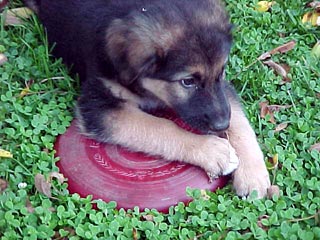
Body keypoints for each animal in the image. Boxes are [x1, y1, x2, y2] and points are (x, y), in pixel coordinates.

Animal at [25, 0, 270, 198]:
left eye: (222, 71)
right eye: (187, 81)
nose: (221, 125)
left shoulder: (223, 92)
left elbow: (239, 122)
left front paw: (253, 174)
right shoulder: (99, 105)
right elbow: (160, 127)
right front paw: (212, 150)